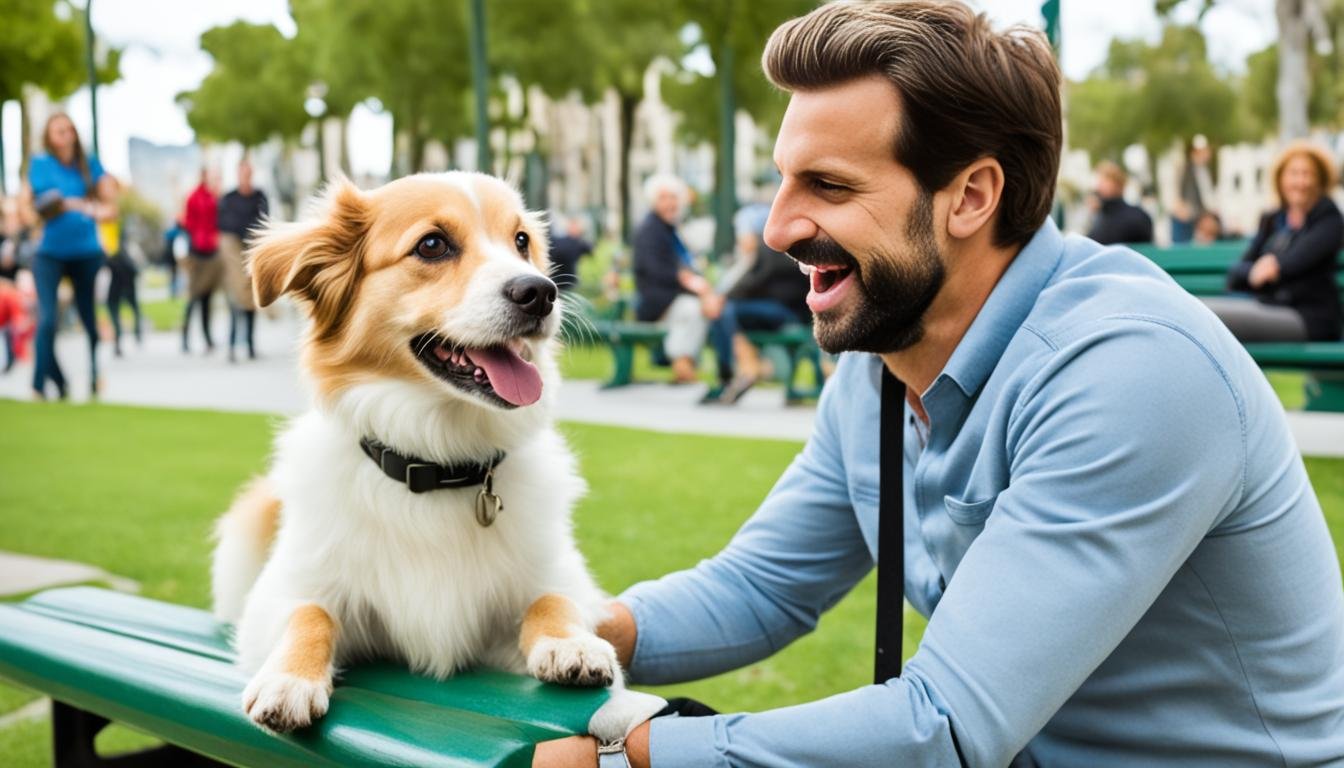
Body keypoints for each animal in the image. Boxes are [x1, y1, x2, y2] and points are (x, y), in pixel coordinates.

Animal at [208, 172, 661, 737]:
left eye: (521, 242)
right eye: (432, 245)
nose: (540, 292)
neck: (439, 464)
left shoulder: (545, 584)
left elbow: (551, 597)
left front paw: (572, 645)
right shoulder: (284, 591)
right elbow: (310, 614)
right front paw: (288, 679)